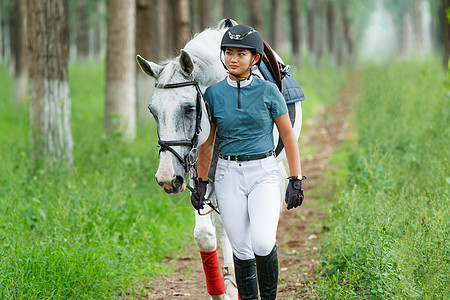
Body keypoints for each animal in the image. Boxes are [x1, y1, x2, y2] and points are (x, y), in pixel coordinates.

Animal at [135, 21, 300, 300]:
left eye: (189, 108)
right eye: (152, 111)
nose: (167, 178)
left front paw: (234, 283)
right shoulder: (199, 179)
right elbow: (205, 233)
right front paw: (222, 290)